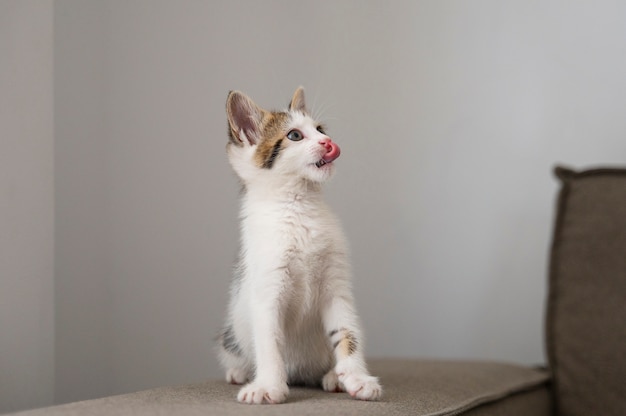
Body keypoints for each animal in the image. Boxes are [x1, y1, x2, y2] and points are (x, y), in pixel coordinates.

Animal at [214, 87, 380, 404]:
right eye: (294, 135)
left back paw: (334, 377)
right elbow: (268, 341)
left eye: (320, 130)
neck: (299, 204)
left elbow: (347, 332)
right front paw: (268, 386)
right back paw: (239, 372)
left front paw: (356, 377)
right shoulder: (267, 288)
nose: (327, 142)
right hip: (231, 333)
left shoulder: (336, 287)